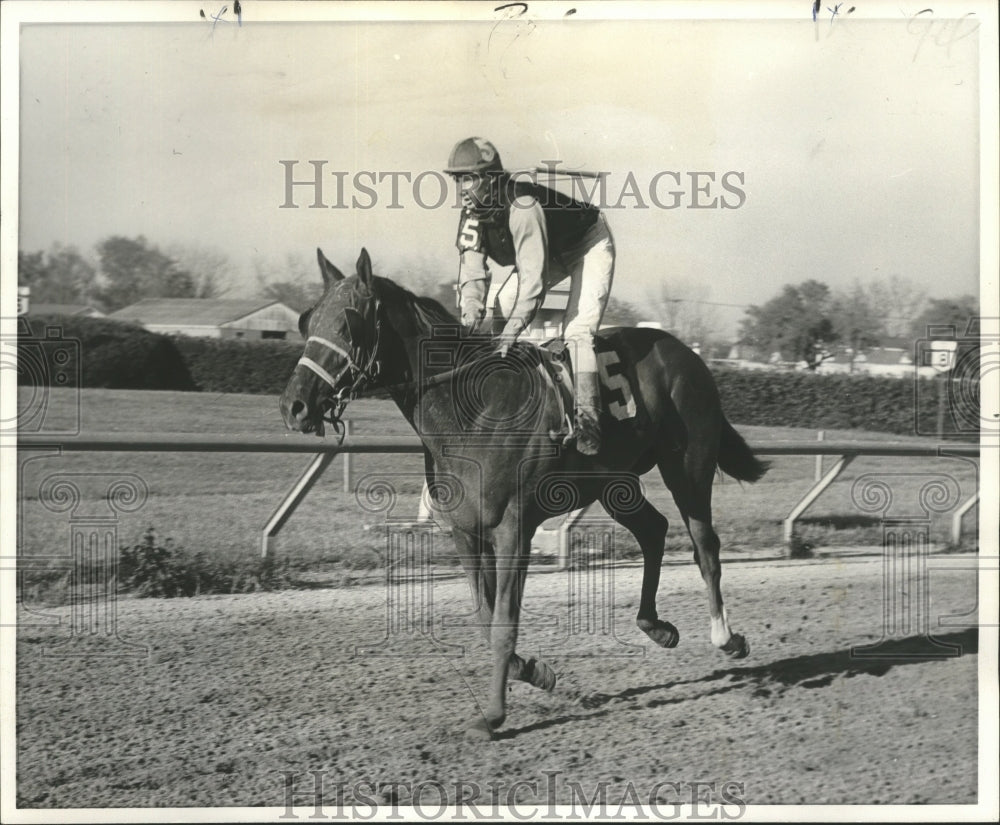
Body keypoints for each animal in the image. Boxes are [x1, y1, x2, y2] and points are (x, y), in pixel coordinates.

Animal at [278, 246, 768, 740]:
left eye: (349, 323)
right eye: (306, 320)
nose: (293, 406)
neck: (471, 411)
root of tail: (686, 352)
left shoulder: (513, 529)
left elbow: (502, 624)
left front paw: (494, 715)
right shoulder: (465, 533)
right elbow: (484, 616)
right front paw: (533, 671)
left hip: (687, 466)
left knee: (704, 544)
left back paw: (726, 636)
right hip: (615, 483)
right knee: (653, 530)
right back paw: (657, 626)